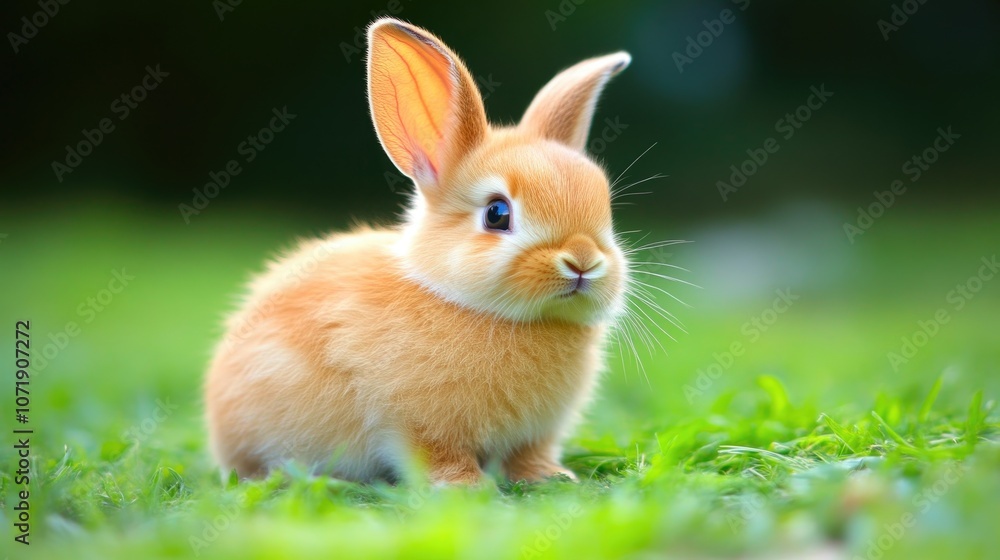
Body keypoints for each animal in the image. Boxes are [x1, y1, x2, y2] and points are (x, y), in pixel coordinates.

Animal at [205, 17, 632, 485]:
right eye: (497, 214)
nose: (583, 261)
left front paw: (551, 476)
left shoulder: (535, 435)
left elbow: (528, 455)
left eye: (605, 206)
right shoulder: (415, 425)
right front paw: (465, 486)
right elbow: (437, 453)